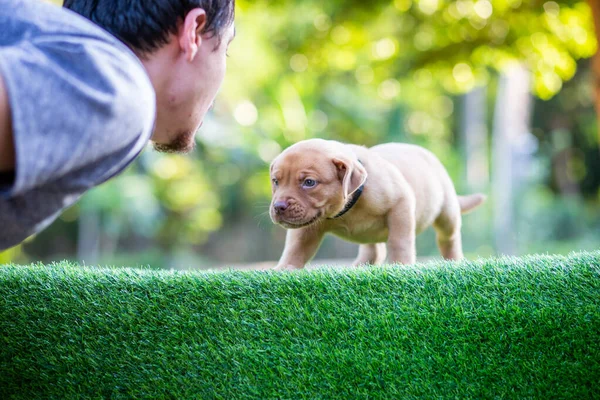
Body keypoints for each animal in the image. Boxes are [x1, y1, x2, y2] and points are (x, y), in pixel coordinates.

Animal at [270, 139, 486, 270]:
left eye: (309, 182)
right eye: (275, 181)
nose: (279, 206)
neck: (349, 207)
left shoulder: (401, 205)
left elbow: (399, 242)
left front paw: (401, 265)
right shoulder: (307, 227)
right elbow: (296, 248)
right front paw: (283, 269)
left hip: (447, 213)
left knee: (448, 238)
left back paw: (454, 261)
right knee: (373, 249)